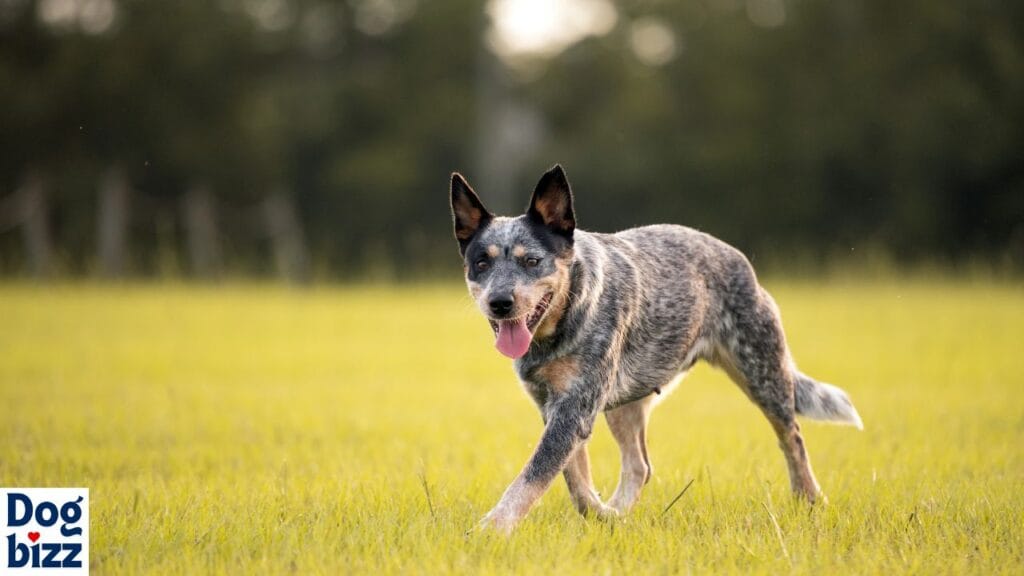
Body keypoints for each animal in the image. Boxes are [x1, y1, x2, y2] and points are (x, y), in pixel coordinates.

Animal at [452, 163, 860, 532]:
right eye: (481, 263)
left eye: (532, 261)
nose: (500, 302)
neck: (555, 331)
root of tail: (736, 256)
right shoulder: (552, 405)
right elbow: (572, 476)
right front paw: (598, 513)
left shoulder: (575, 406)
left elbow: (535, 474)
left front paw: (492, 529)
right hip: (625, 400)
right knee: (639, 465)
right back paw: (617, 512)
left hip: (762, 373)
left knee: (792, 436)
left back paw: (810, 498)